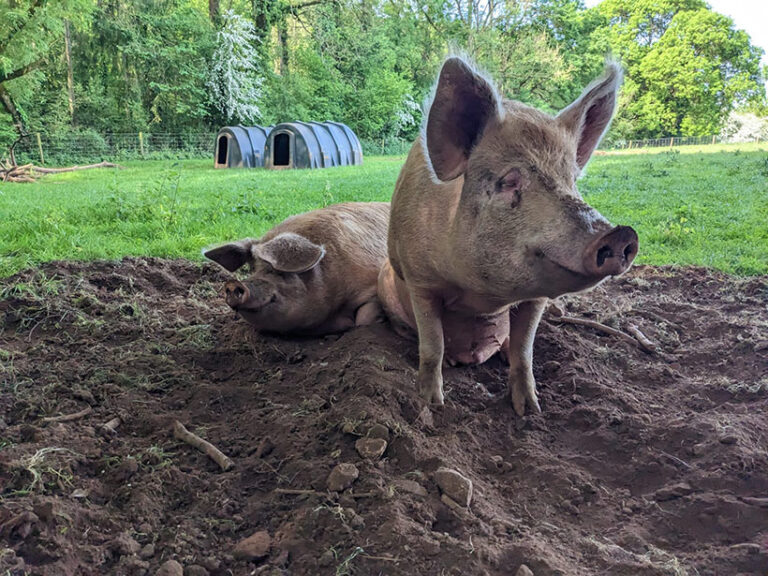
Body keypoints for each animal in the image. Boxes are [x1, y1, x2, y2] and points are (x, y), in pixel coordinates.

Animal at [378, 57, 636, 414]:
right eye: (508, 181)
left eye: (571, 181)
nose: (620, 233)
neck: (480, 295)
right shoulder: (420, 281)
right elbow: (433, 346)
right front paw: (431, 404)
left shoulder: (536, 298)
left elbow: (524, 352)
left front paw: (530, 410)